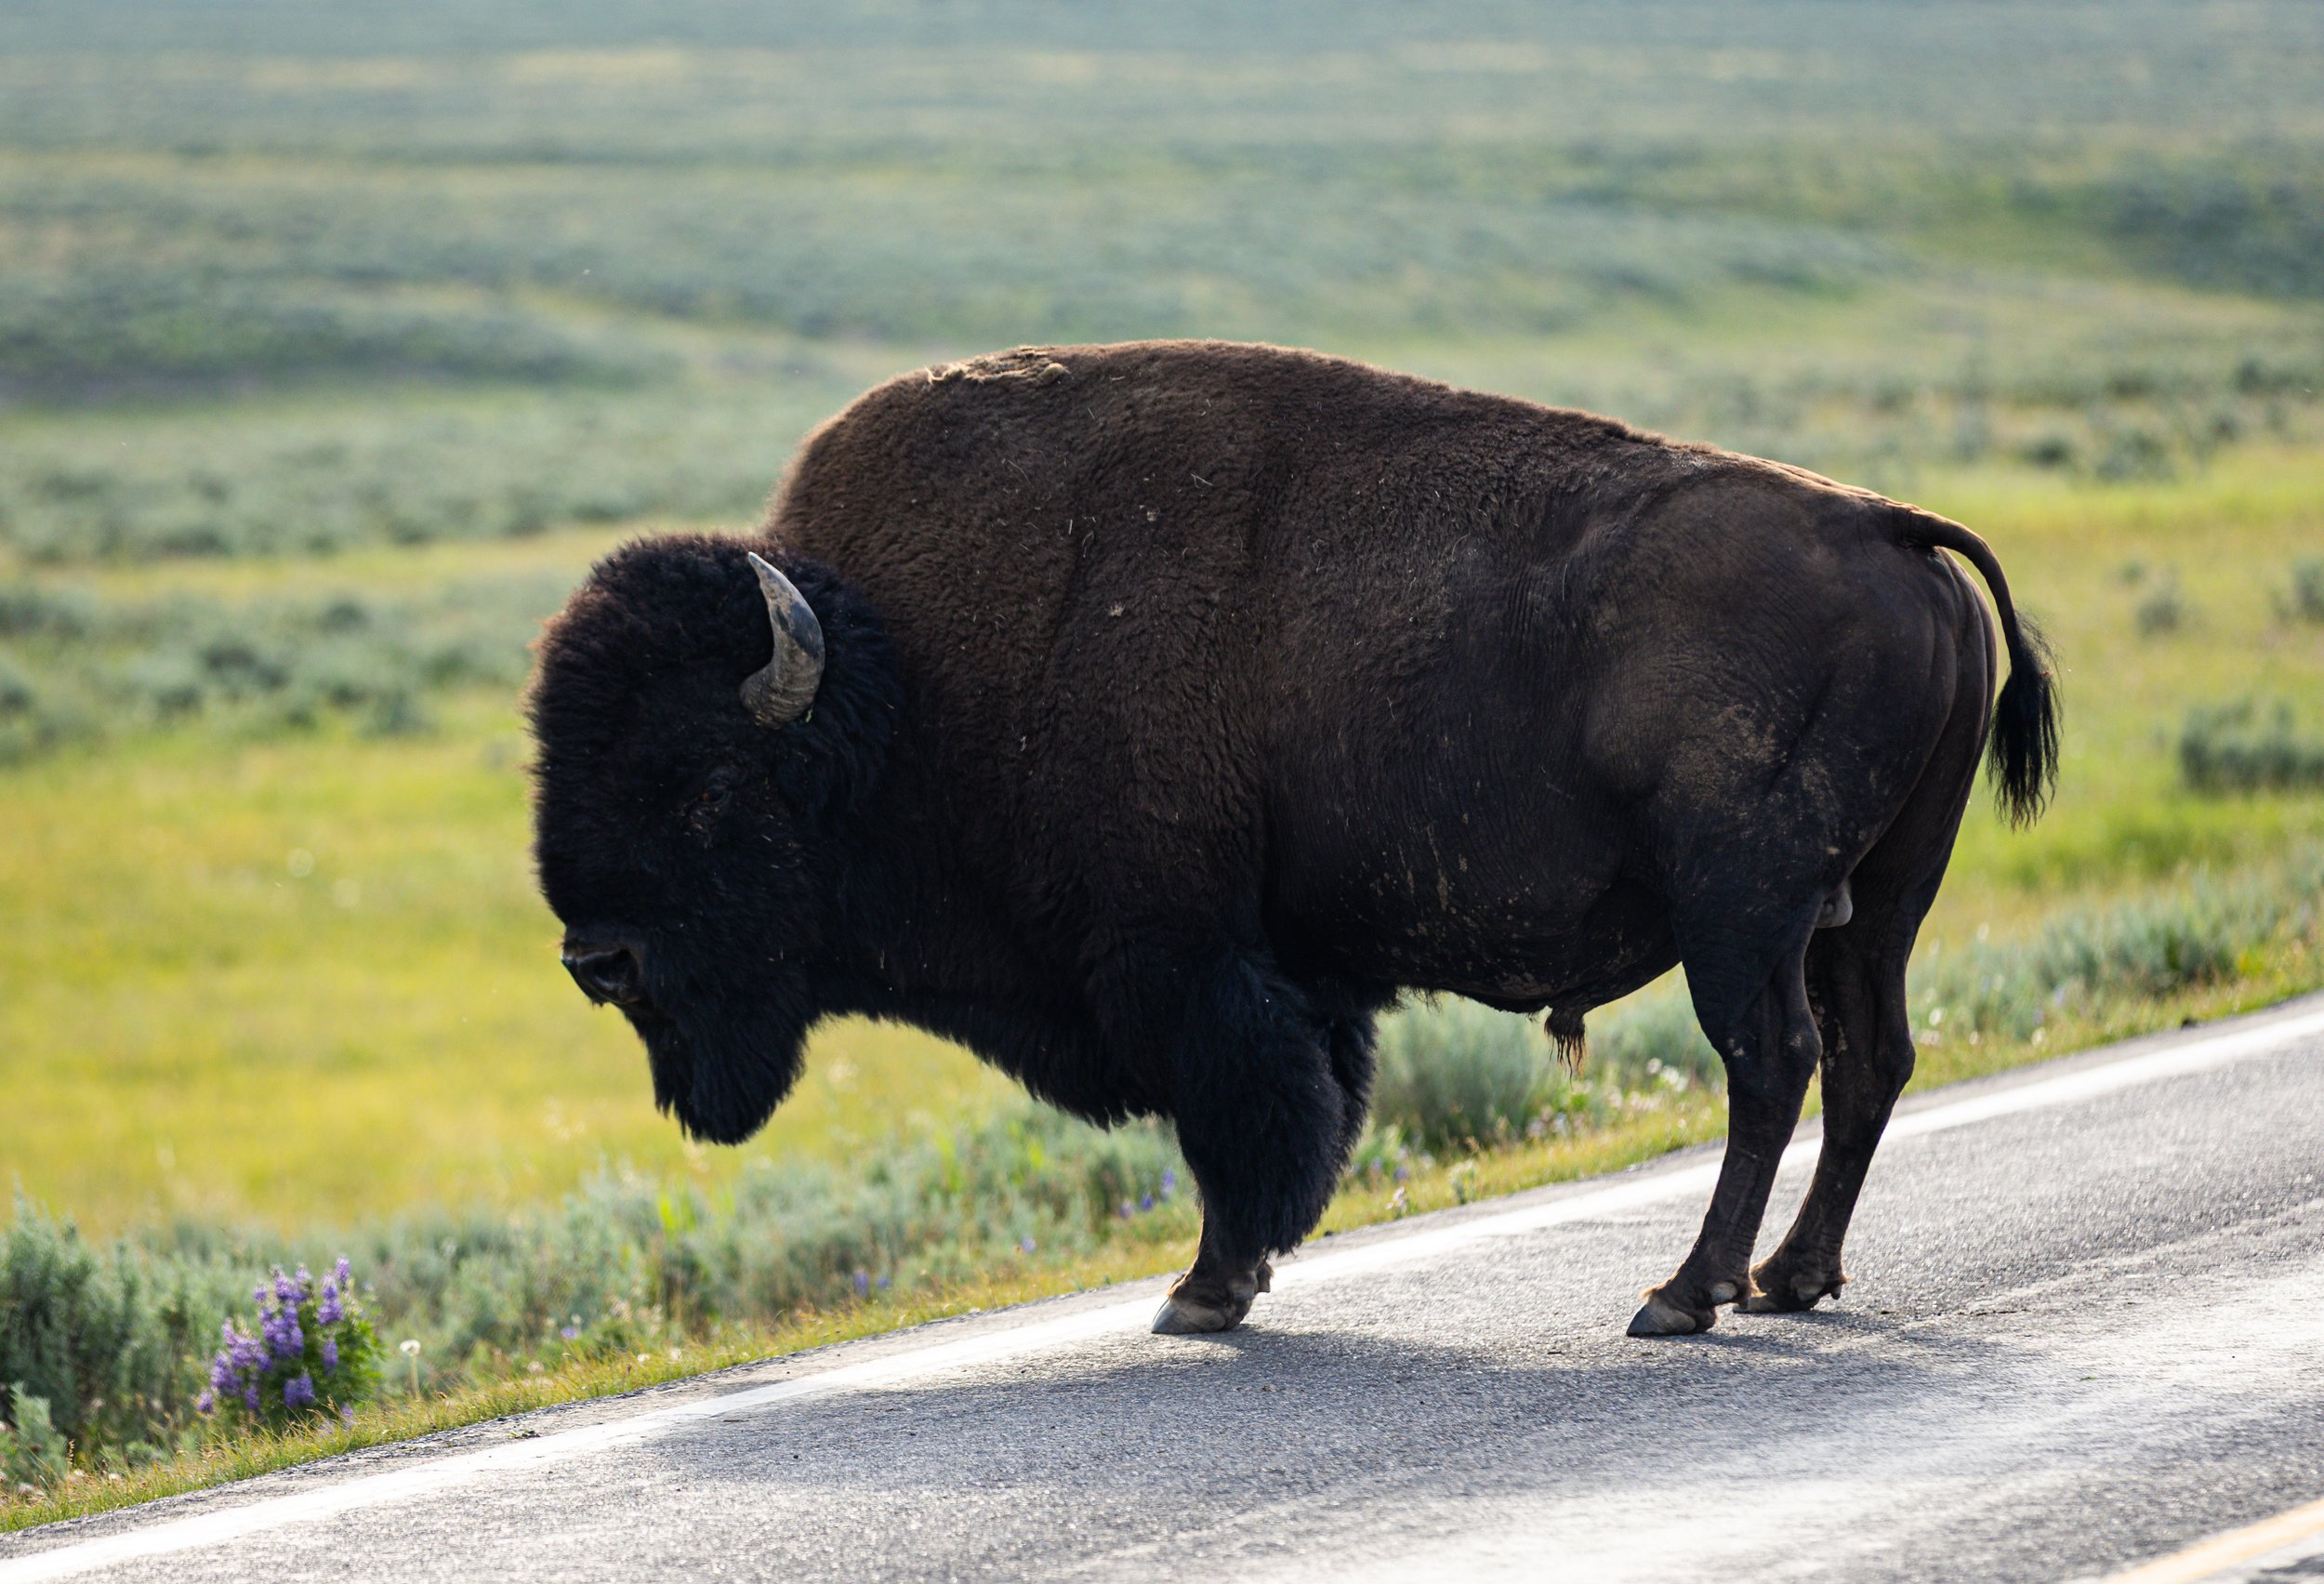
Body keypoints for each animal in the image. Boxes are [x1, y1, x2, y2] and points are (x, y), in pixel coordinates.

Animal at [529, 340, 2056, 1338]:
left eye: (706, 790)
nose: (597, 959)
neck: (901, 683)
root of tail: (1888, 529)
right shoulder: (1290, 974)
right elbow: (1302, 1110)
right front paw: (1230, 1281)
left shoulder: (1177, 964)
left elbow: (1240, 1123)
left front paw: (1201, 1295)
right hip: (1878, 902)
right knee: (1868, 1060)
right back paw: (1791, 1281)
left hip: (1743, 911)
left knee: (1772, 1063)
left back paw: (1684, 1299)